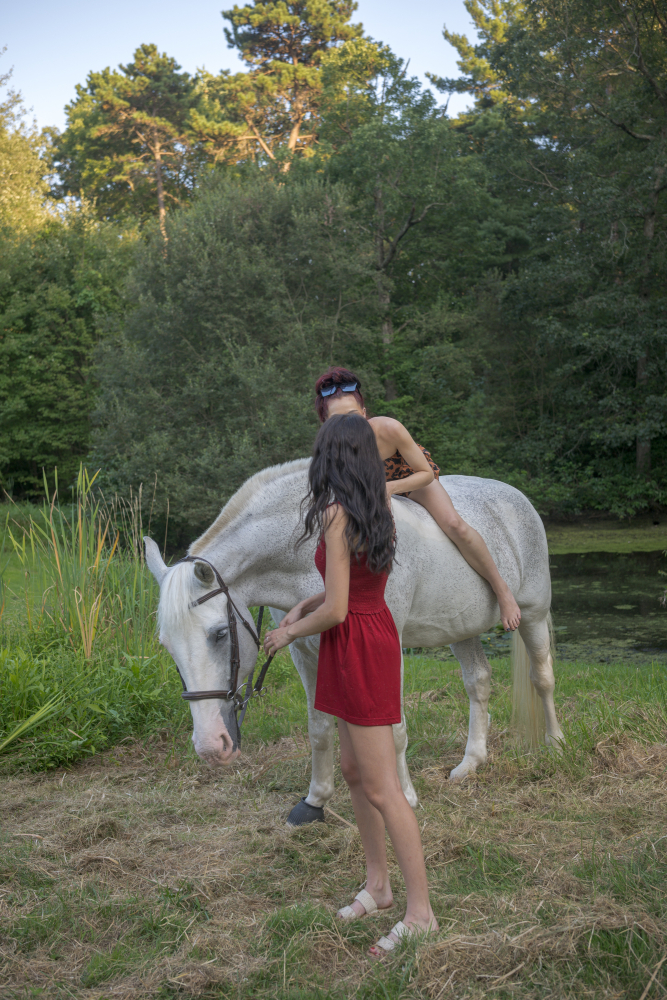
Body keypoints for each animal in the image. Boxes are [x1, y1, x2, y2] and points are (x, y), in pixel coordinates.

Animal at [145, 459, 564, 825]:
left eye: (219, 633)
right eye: (166, 645)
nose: (210, 746)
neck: (310, 551)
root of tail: (514, 495)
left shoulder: (386, 648)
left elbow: (393, 730)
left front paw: (405, 798)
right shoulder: (305, 653)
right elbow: (319, 729)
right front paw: (315, 800)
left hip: (533, 614)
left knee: (543, 678)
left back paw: (556, 744)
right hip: (461, 629)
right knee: (479, 682)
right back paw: (471, 762)